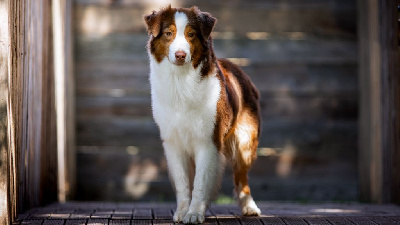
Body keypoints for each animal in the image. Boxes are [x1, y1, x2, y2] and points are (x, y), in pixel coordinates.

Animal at [145, 5, 260, 225]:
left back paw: (249, 207)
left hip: (245, 142)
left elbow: (201, 181)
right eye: (169, 33)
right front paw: (183, 211)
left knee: (242, 177)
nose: (180, 55)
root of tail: (237, 68)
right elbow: (183, 182)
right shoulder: (173, 142)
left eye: (191, 34)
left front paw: (194, 213)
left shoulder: (208, 141)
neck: (181, 81)